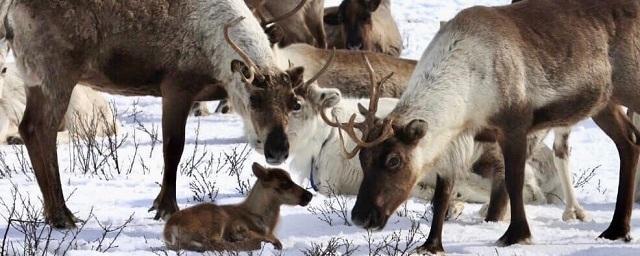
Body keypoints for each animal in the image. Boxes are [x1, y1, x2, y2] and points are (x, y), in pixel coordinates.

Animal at [162, 163, 312, 251]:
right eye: (284, 184)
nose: (309, 195)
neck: (267, 223)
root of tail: (170, 229)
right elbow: (274, 240)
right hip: (216, 218)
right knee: (214, 243)